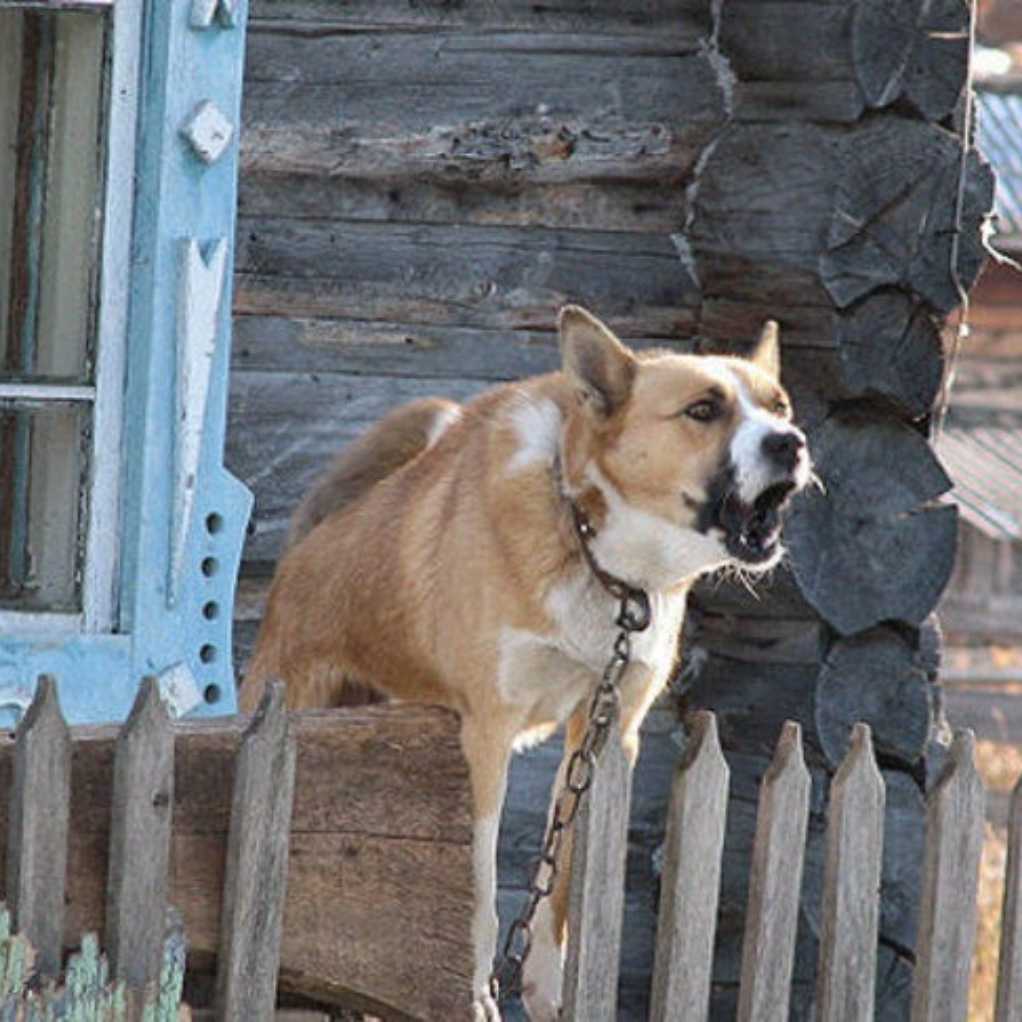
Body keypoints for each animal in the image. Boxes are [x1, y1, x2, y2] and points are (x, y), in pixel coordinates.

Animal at [243, 304, 809, 1021]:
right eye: (704, 409)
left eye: (779, 405)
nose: (791, 443)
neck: (599, 556)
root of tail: (301, 552)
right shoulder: (485, 734)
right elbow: (482, 887)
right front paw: (474, 991)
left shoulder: (604, 734)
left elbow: (560, 879)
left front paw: (544, 983)